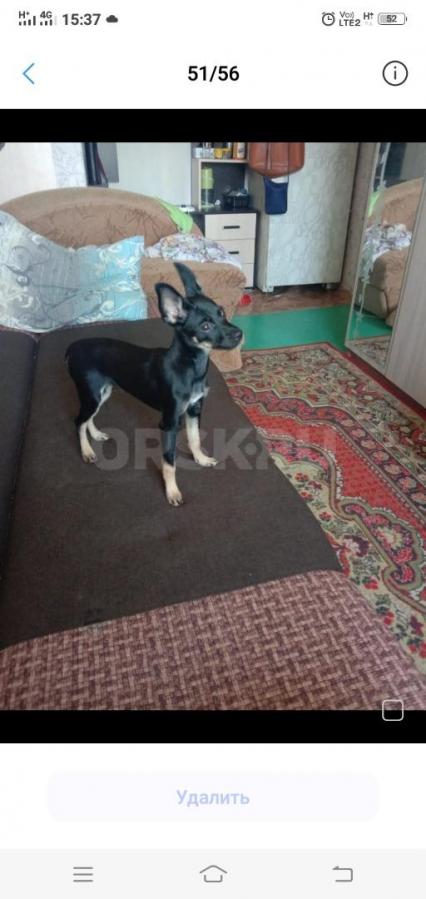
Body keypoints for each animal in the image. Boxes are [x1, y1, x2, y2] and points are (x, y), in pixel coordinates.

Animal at [65, 262, 243, 506]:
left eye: (222, 313)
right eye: (205, 326)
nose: (239, 334)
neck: (191, 367)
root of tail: (72, 348)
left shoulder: (194, 410)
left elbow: (195, 439)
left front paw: (201, 459)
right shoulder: (169, 422)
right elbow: (169, 462)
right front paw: (172, 491)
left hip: (102, 392)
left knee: (87, 418)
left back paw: (96, 435)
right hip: (91, 393)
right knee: (78, 421)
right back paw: (86, 450)